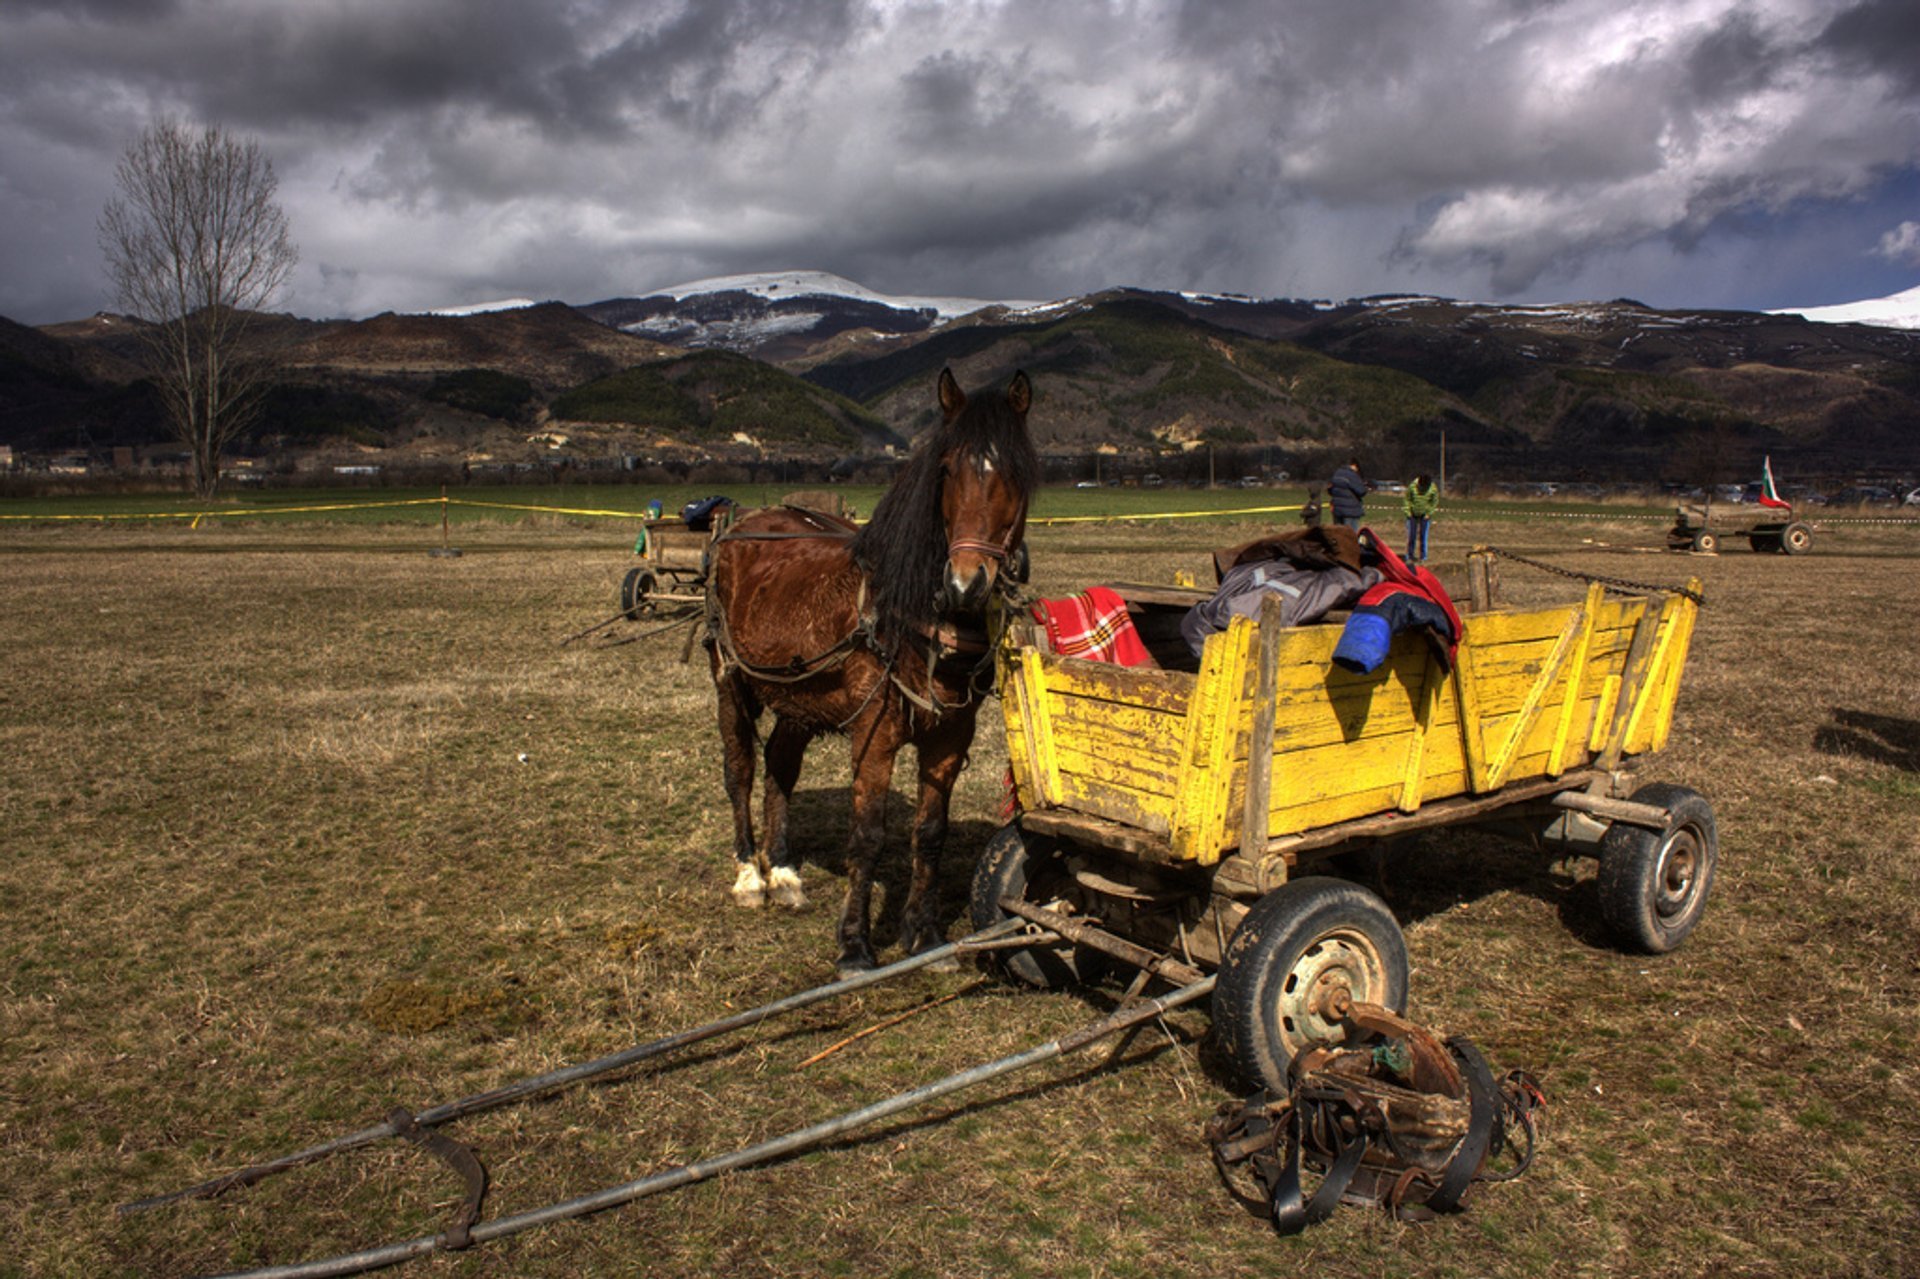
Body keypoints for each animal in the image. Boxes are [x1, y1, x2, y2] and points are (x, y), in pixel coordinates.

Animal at [702, 366, 1036, 967]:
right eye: (946, 470)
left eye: (1015, 473)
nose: (966, 583)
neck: (912, 616)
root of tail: (747, 520)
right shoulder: (874, 737)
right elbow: (869, 836)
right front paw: (855, 945)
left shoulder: (950, 736)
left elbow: (930, 833)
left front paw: (924, 934)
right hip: (731, 681)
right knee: (739, 768)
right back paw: (750, 876)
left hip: (797, 695)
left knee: (780, 764)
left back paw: (782, 871)